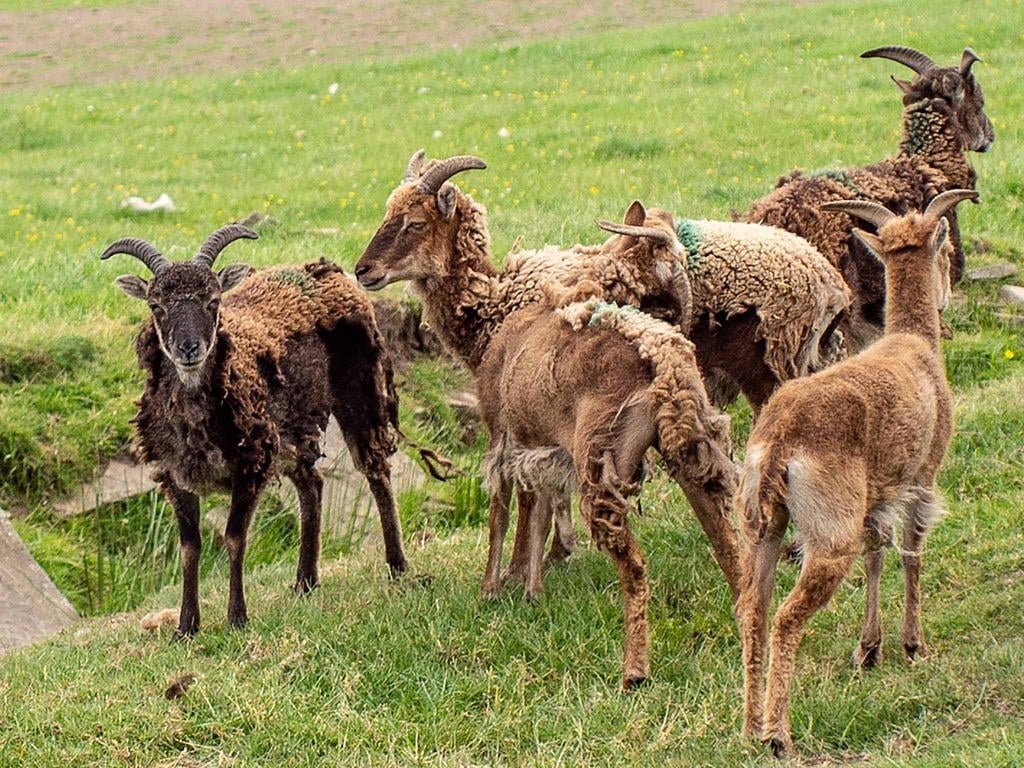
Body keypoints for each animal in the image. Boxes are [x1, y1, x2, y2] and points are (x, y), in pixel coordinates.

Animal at [103, 226, 408, 637]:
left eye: (213, 301)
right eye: (156, 306)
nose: (189, 348)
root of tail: (328, 270)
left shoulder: (250, 463)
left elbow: (235, 537)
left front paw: (236, 618)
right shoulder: (175, 474)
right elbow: (189, 548)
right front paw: (186, 627)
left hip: (359, 387)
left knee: (375, 471)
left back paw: (397, 566)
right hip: (292, 429)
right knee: (312, 485)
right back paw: (305, 581)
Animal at [732, 189, 977, 757]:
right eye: (943, 251)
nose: (946, 297)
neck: (914, 346)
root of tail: (778, 444)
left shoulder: (874, 499)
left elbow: (876, 556)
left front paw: (869, 649)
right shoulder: (921, 478)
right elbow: (911, 554)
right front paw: (912, 645)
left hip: (762, 525)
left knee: (753, 609)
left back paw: (751, 726)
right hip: (826, 531)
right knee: (785, 617)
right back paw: (778, 735)